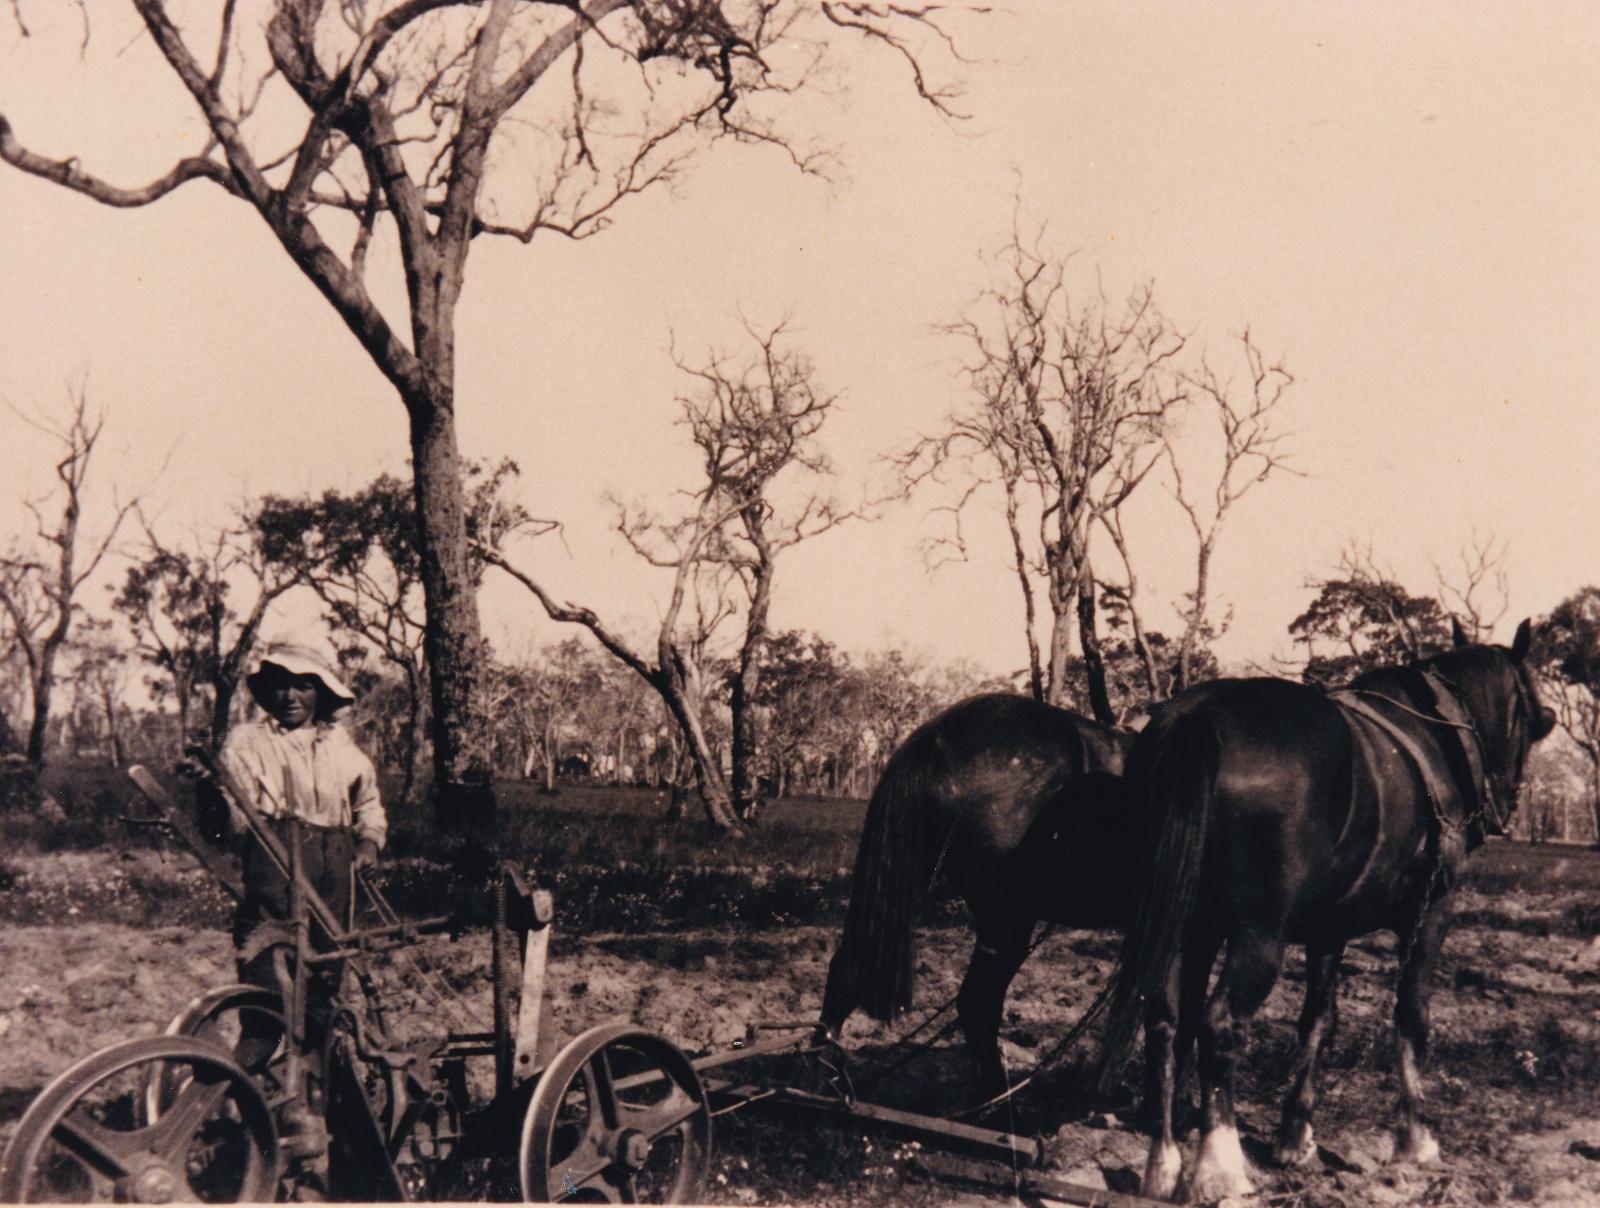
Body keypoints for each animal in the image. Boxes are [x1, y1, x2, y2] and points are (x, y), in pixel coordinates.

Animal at [819, 694, 1132, 1100]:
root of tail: (934, 738)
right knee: (977, 1002)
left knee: (847, 971)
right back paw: (992, 1099)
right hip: (1007, 918)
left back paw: (822, 1080)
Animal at [1100, 624, 1548, 1203]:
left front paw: (1295, 1135)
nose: (1503, 810)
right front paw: (1415, 1139)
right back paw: (1220, 1166)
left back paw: (1164, 1162)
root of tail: (1200, 716)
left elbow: (1318, 1021)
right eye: (1538, 720)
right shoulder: (1430, 914)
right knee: (1220, 1026)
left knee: (1164, 1020)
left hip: (1187, 926)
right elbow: (1412, 1018)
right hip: (1258, 938)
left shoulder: (1329, 930)